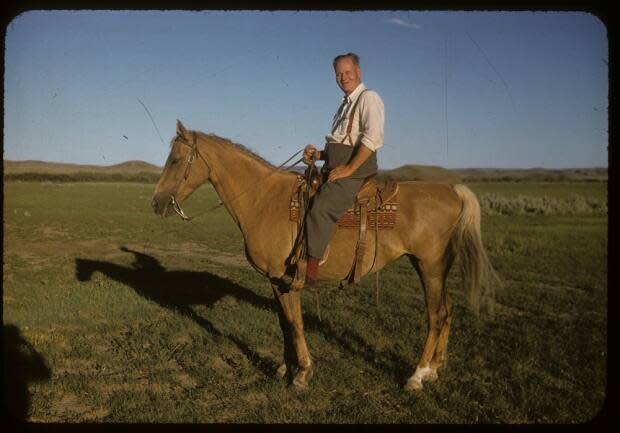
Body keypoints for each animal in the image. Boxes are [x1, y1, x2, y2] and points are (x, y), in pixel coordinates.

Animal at [151, 120, 498, 390]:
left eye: (175, 160)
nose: (156, 203)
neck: (263, 199)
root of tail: (453, 191)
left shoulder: (286, 280)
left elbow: (295, 324)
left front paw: (302, 373)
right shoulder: (276, 281)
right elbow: (284, 323)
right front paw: (284, 368)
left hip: (430, 266)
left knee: (436, 315)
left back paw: (417, 375)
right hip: (435, 268)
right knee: (448, 310)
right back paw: (435, 369)